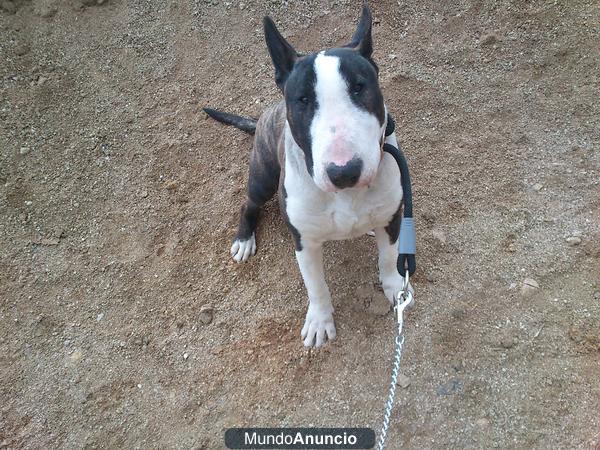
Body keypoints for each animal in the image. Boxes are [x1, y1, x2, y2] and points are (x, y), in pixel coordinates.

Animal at [204, 4, 410, 348]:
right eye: (302, 100)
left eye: (359, 87)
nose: (344, 171)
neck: (346, 195)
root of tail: (265, 115)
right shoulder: (305, 241)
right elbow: (316, 287)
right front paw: (319, 321)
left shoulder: (394, 217)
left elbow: (388, 257)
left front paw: (395, 287)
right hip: (263, 178)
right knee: (248, 204)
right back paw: (244, 239)